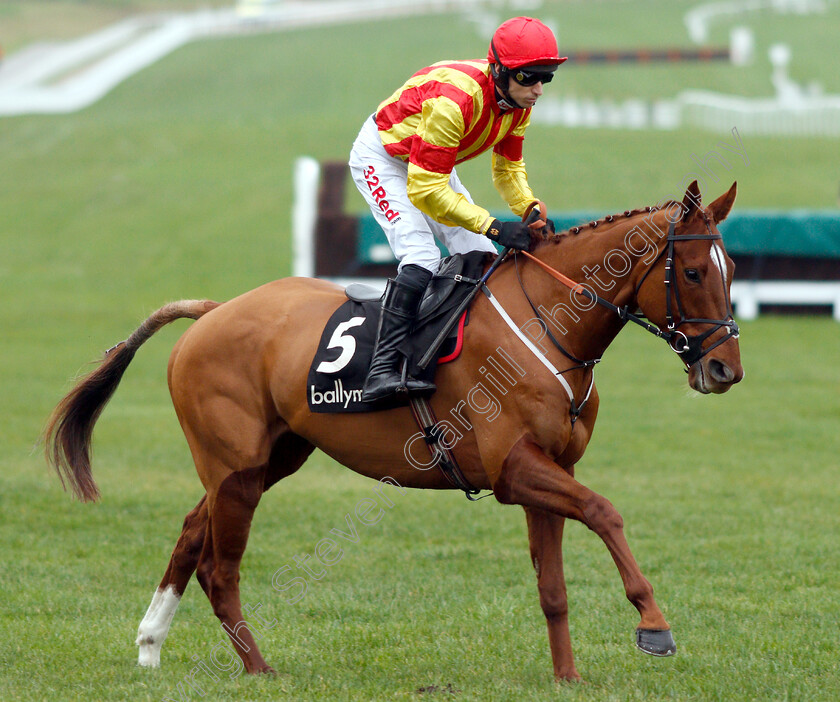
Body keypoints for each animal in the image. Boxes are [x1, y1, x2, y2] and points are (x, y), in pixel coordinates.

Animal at [46, 180, 740, 680]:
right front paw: (653, 623)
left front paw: (566, 677)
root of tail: (214, 312)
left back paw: (150, 644)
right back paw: (258, 668)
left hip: (269, 458)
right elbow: (605, 511)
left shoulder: (550, 470)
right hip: (237, 469)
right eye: (695, 273)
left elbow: (553, 586)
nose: (725, 369)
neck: (546, 322)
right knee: (220, 569)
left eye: (732, 270)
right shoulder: (514, 470)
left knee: (194, 531)